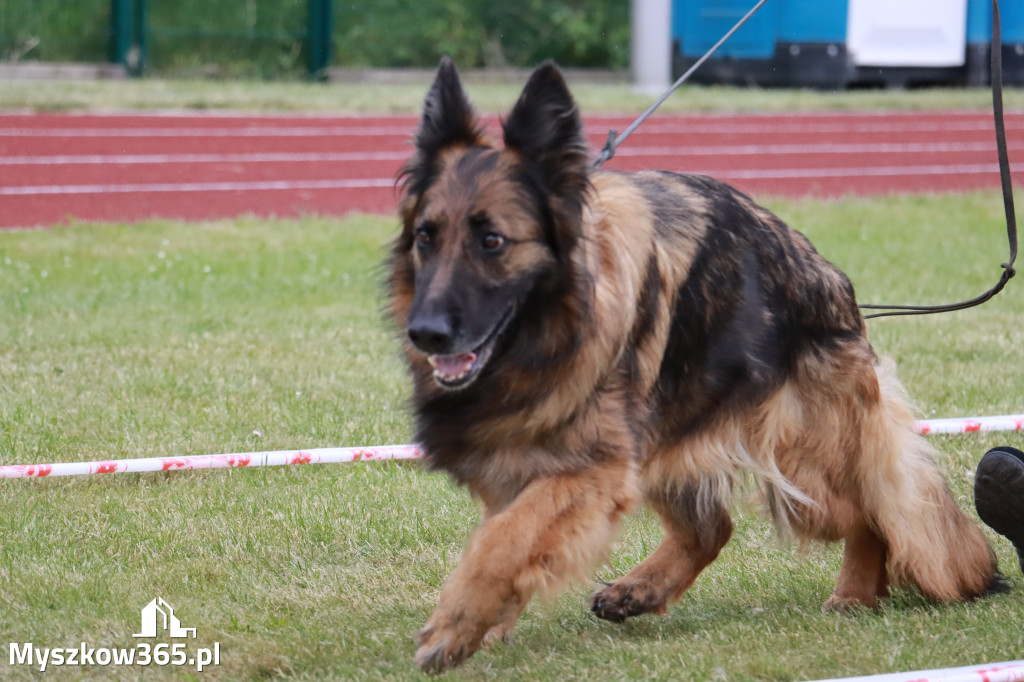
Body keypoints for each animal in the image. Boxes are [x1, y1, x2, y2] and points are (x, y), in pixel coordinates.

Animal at [385, 58, 999, 667]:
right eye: (426, 237)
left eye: (492, 240)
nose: (426, 333)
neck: (551, 330)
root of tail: (827, 277)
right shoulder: (527, 462)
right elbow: (503, 537)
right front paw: (487, 621)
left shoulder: (590, 467)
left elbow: (505, 540)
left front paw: (455, 625)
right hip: (672, 433)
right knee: (713, 529)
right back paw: (640, 588)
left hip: (799, 466)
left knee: (867, 508)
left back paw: (854, 592)